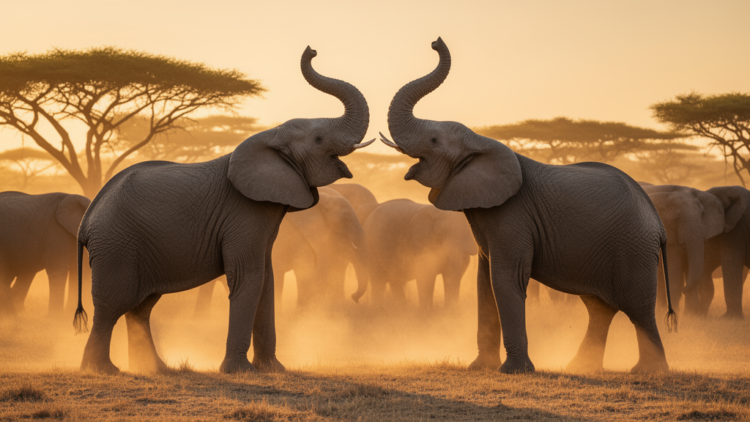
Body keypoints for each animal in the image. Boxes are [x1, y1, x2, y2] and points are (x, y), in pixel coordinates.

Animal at [378, 37, 676, 374]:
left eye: (433, 141)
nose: (435, 42)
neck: (482, 142)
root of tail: (658, 224)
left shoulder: (512, 214)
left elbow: (506, 278)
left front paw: (513, 371)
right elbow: (485, 282)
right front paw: (479, 368)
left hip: (633, 247)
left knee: (638, 308)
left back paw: (648, 371)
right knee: (599, 306)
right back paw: (580, 367)